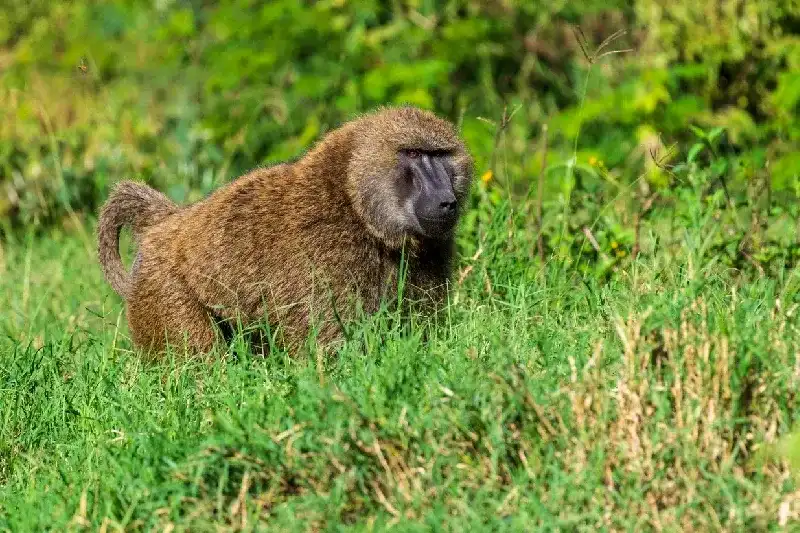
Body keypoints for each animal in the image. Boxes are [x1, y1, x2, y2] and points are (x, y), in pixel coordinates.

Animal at [97, 105, 474, 355]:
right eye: (414, 154)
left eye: (440, 155)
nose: (447, 202)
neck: (355, 207)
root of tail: (167, 224)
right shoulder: (323, 257)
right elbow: (327, 349)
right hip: (162, 288)